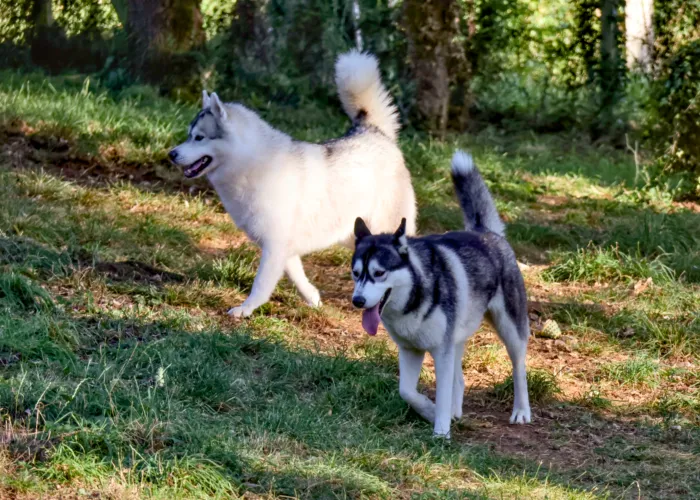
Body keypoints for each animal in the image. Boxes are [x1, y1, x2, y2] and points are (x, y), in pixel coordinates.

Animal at [170, 50, 418, 316]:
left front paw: (245, 310)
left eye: (199, 138)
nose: (171, 154)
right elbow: (296, 275)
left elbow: (260, 285)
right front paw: (313, 298)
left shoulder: (274, 246)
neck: (254, 165)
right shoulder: (282, 248)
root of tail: (372, 130)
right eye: (189, 136)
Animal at [350, 151, 532, 438]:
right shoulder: (411, 350)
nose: (357, 301)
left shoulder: (441, 352)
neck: (415, 297)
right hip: (458, 336)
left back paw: (522, 410)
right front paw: (429, 410)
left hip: (510, 329)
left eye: (379, 273)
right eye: (356, 273)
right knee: (461, 379)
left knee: (519, 367)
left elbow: (442, 392)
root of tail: (485, 233)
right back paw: (456, 412)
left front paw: (441, 432)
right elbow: (407, 392)